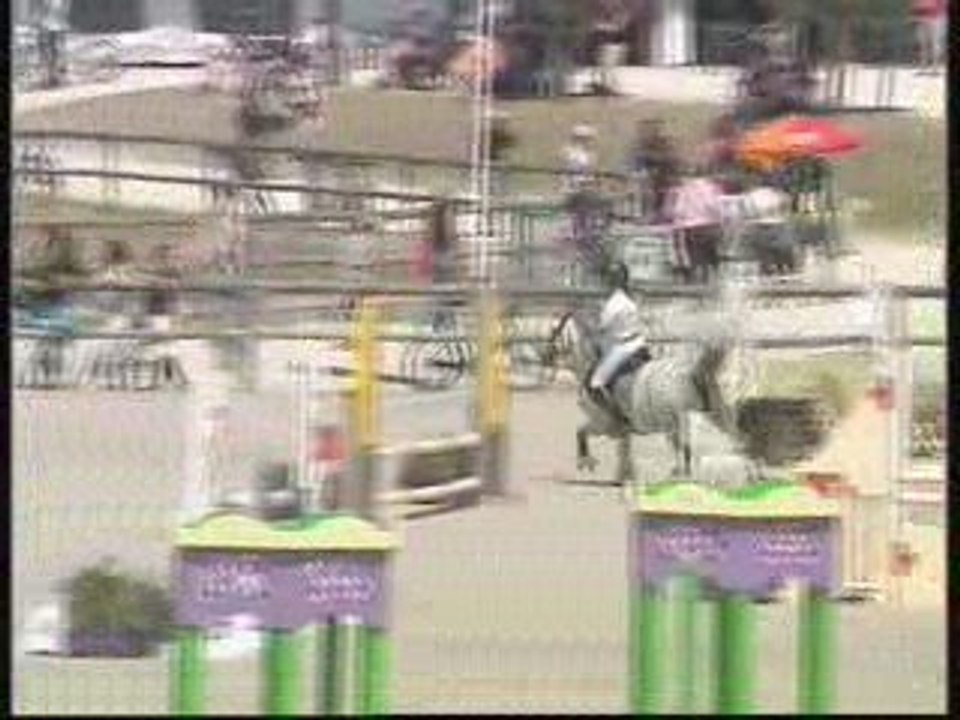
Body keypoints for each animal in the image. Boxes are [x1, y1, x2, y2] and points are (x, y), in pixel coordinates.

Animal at [549, 308, 745, 485]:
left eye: (554, 339)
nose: (546, 360)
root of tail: (693, 371)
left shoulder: (604, 423)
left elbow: (581, 432)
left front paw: (586, 462)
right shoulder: (622, 429)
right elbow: (624, 449)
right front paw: (624, 476)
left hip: (680, 422)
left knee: (686, 449)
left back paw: (682, 476)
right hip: (713, 416)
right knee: (731, 440)